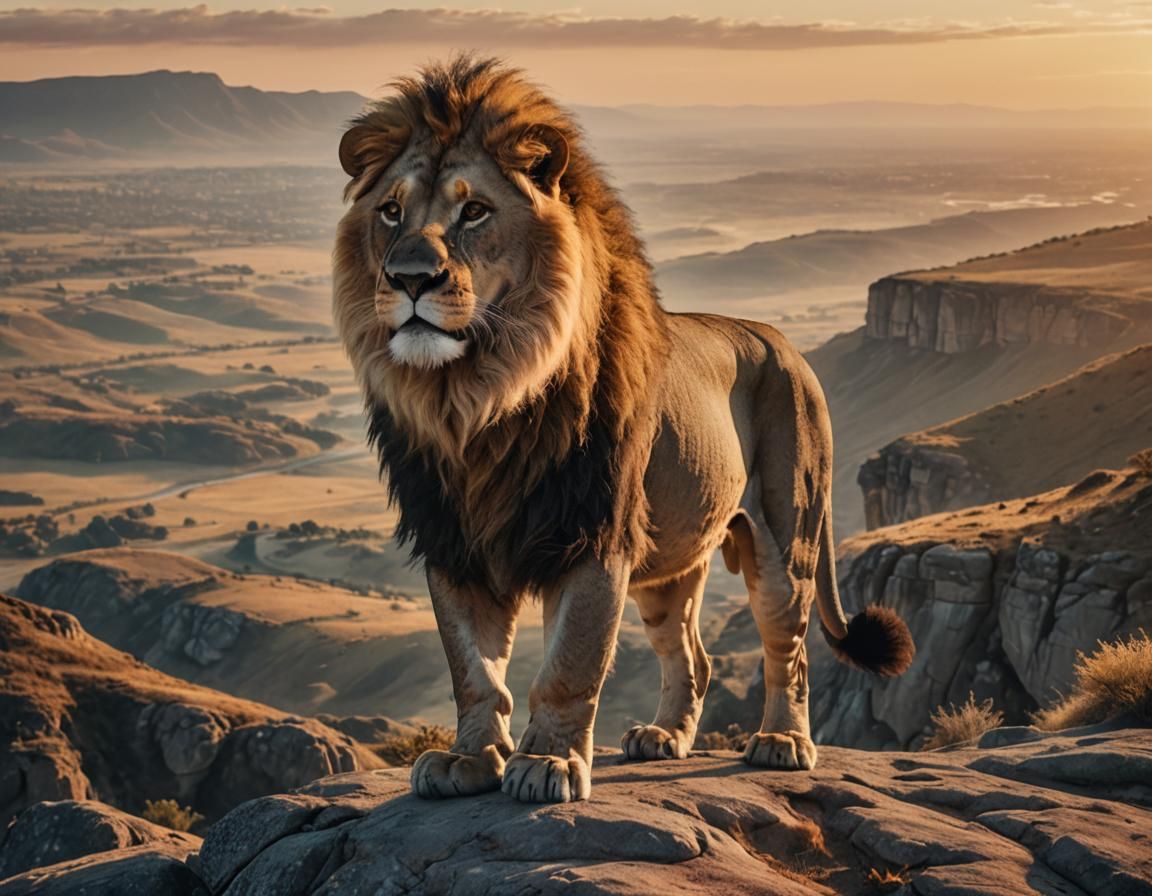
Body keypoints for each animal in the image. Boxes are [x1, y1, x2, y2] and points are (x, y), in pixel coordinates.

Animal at [333, 56, 915, 804]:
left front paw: (548, 764)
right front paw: (468, 761)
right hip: (670, 563)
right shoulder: (453, 542)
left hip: (788, 538)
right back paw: (663, 737)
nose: (408, 277)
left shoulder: (593, 533)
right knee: (691, 656)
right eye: (391, 211)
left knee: (789, 646)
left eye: (475, 211)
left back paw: (783, 743)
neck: (477, 399)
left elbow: (569, 665)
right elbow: (473, 672)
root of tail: (782, 339)